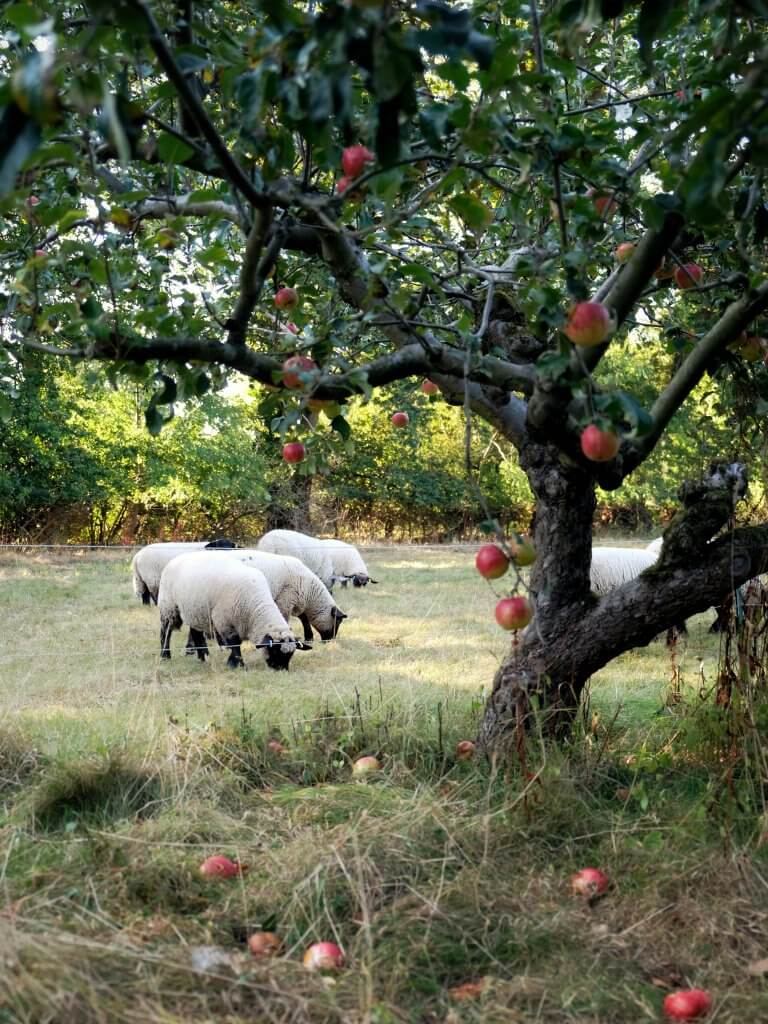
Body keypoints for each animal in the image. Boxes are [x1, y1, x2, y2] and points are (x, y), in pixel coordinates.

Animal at [156, 552, 307, 671]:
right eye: (275, 650)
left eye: (291, 654)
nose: (281, 670)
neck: (255, 608)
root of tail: (175, 559)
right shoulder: (224, 621)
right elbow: (235, 644)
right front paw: (238, 664)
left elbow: (236, 643)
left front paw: (232, 662)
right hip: (168, 606)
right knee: (166, 632)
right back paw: (165, 656)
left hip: (195, 610)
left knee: (196, 633)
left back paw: (203, 657)